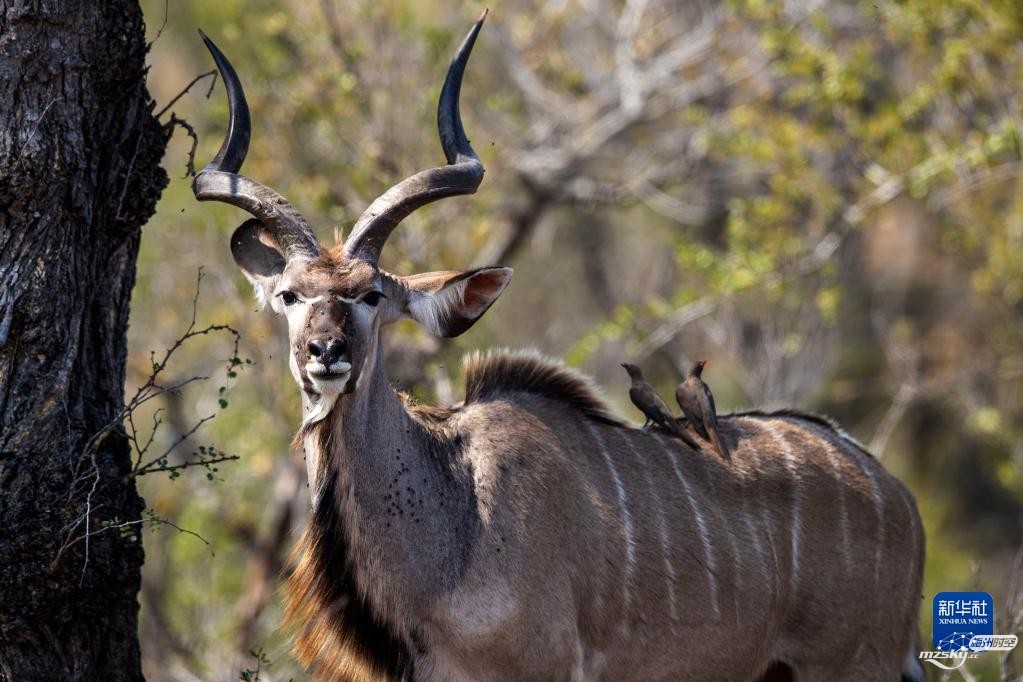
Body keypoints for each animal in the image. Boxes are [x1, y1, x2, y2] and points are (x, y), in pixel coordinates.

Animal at [192, 15, 928, 682]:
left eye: (372, 294)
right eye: (289, 295)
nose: (325, 351)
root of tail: (895, 493)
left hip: (848, 668)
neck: (452, 507)